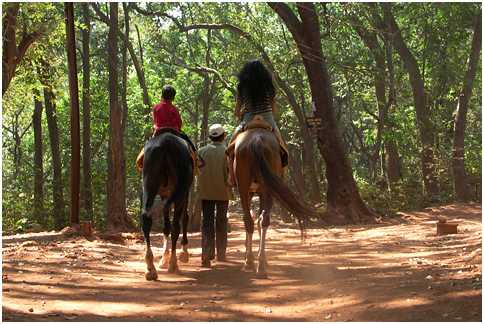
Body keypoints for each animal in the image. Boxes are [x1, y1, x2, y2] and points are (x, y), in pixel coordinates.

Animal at [140, 130, 193, 280]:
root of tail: (165, 145)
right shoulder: (185, 192)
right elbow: (183, 219)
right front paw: (183, 253)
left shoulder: (165, 195)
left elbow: (165, 226)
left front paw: (163, 258)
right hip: (180, 190)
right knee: (176, 225)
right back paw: (173, 264)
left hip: (149, 184)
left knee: (146, 217)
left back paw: (150, 268)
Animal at [231, 59, 318, 278]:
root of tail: (256, 140)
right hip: (262, 187)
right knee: (260, 219)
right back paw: (259, 263)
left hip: (248, 187)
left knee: (252, 219)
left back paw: (252, 262)